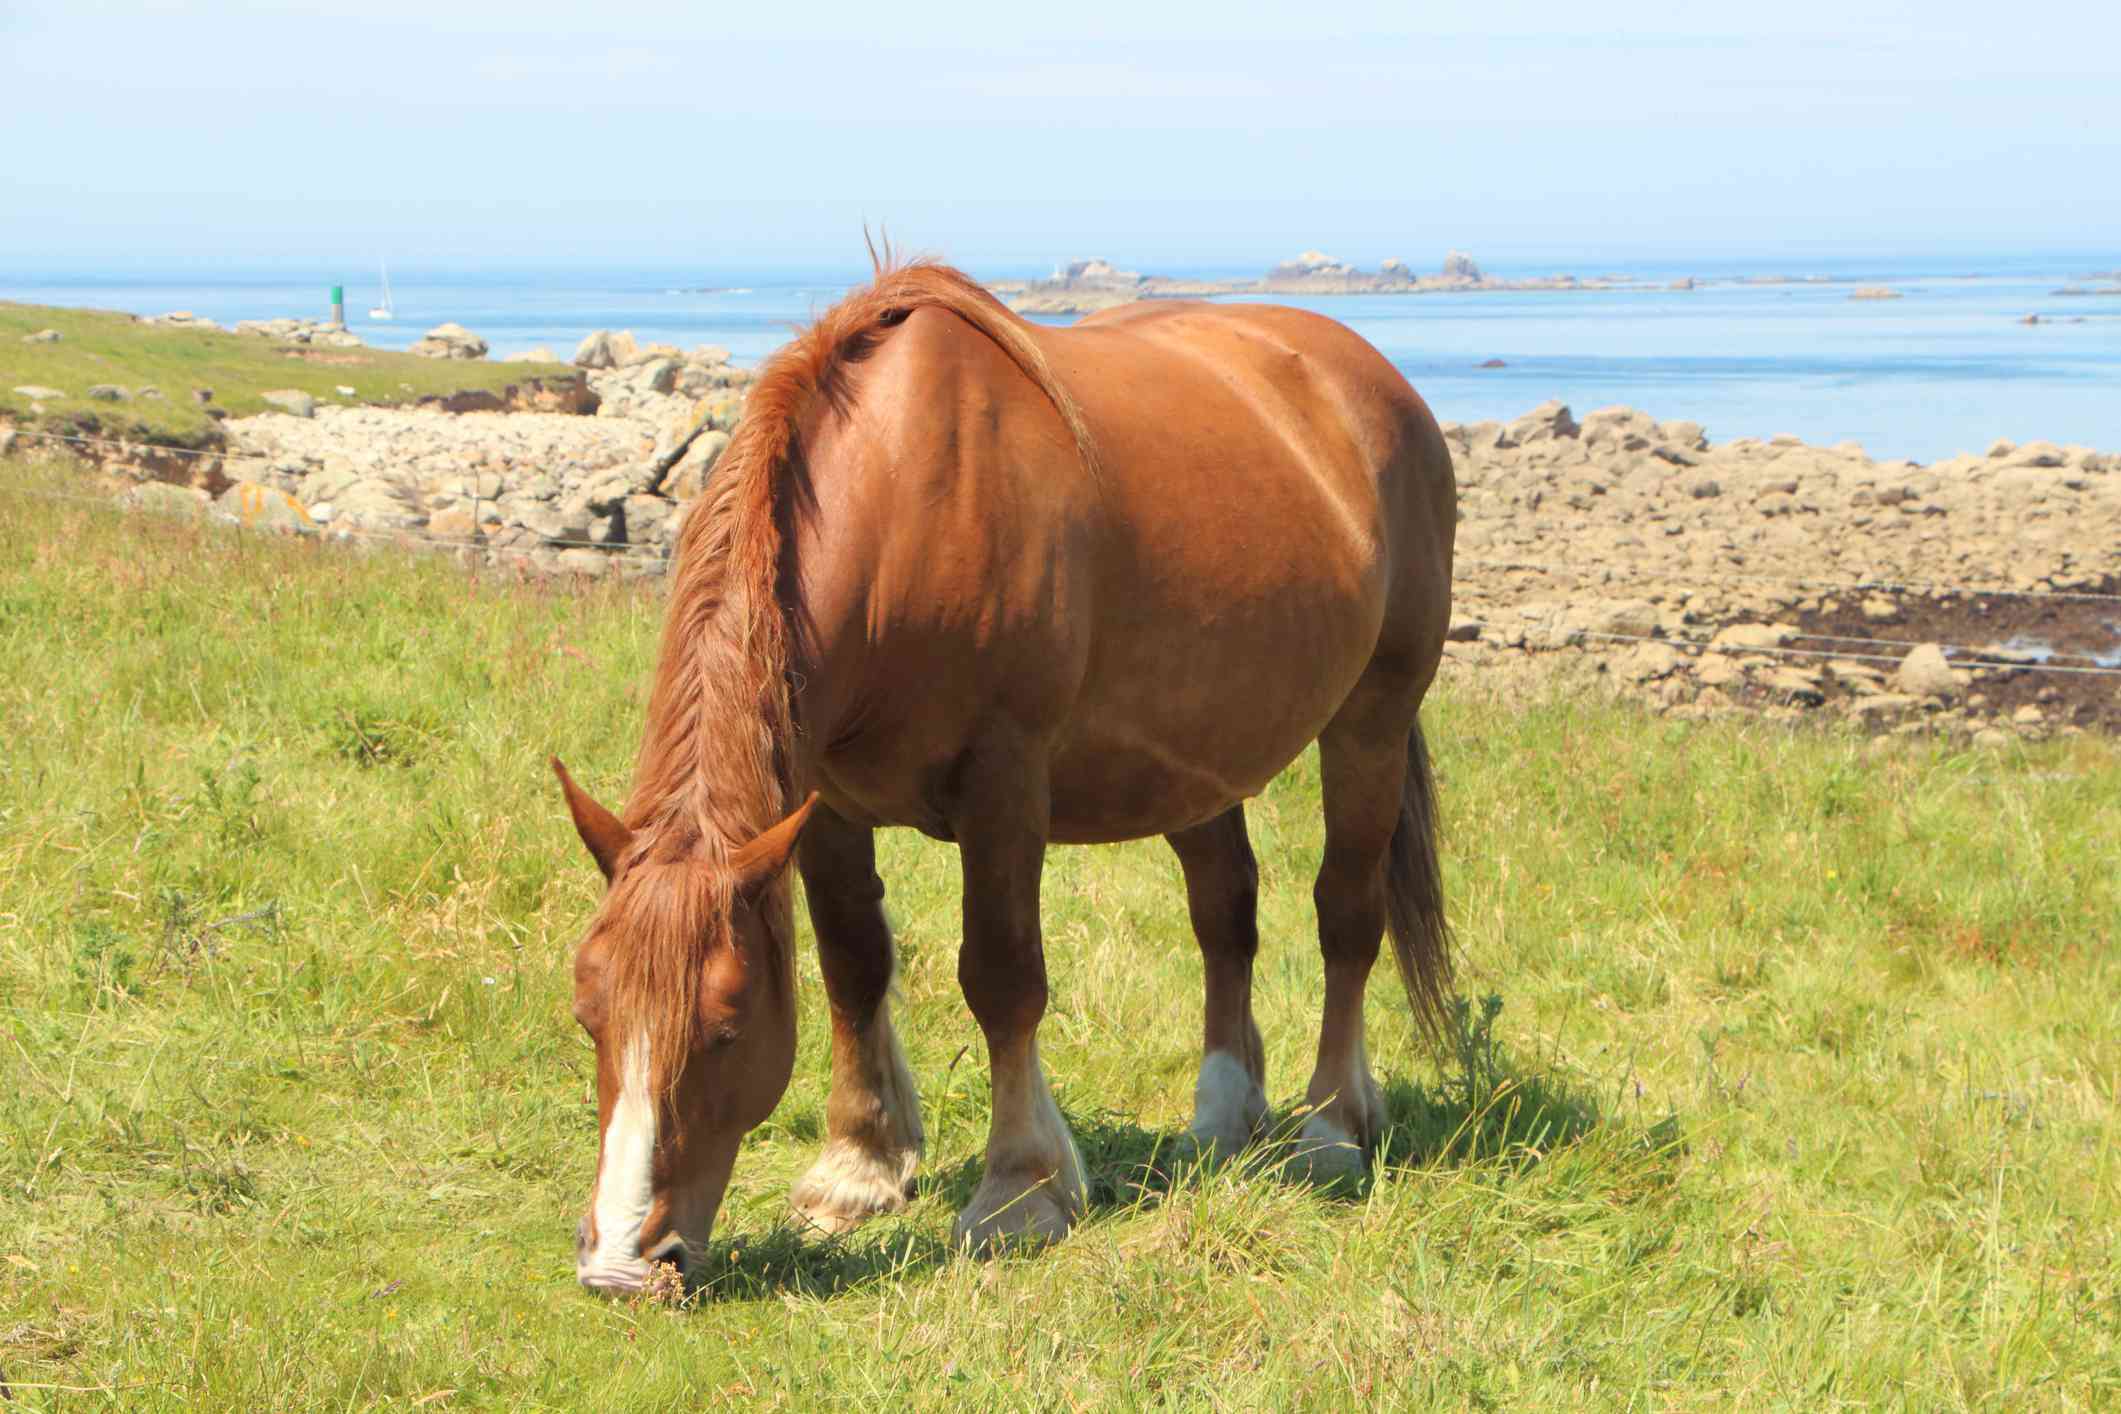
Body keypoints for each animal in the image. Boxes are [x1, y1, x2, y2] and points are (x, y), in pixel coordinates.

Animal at [555, 254, 1459, 1297]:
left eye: (728, 1028)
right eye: (589, 1017)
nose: (624, 1262)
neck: (904, 503)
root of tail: (1374, 383)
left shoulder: (1004, 785)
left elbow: (1002, 976)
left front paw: (1019, 1191)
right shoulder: (822, 803)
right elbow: (853, 965)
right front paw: (859, 1168)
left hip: (1371, 722)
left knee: (1346, 914)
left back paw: (1330, 1128)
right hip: (1194, 753)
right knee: (1225, 915)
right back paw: (1223, 1119)